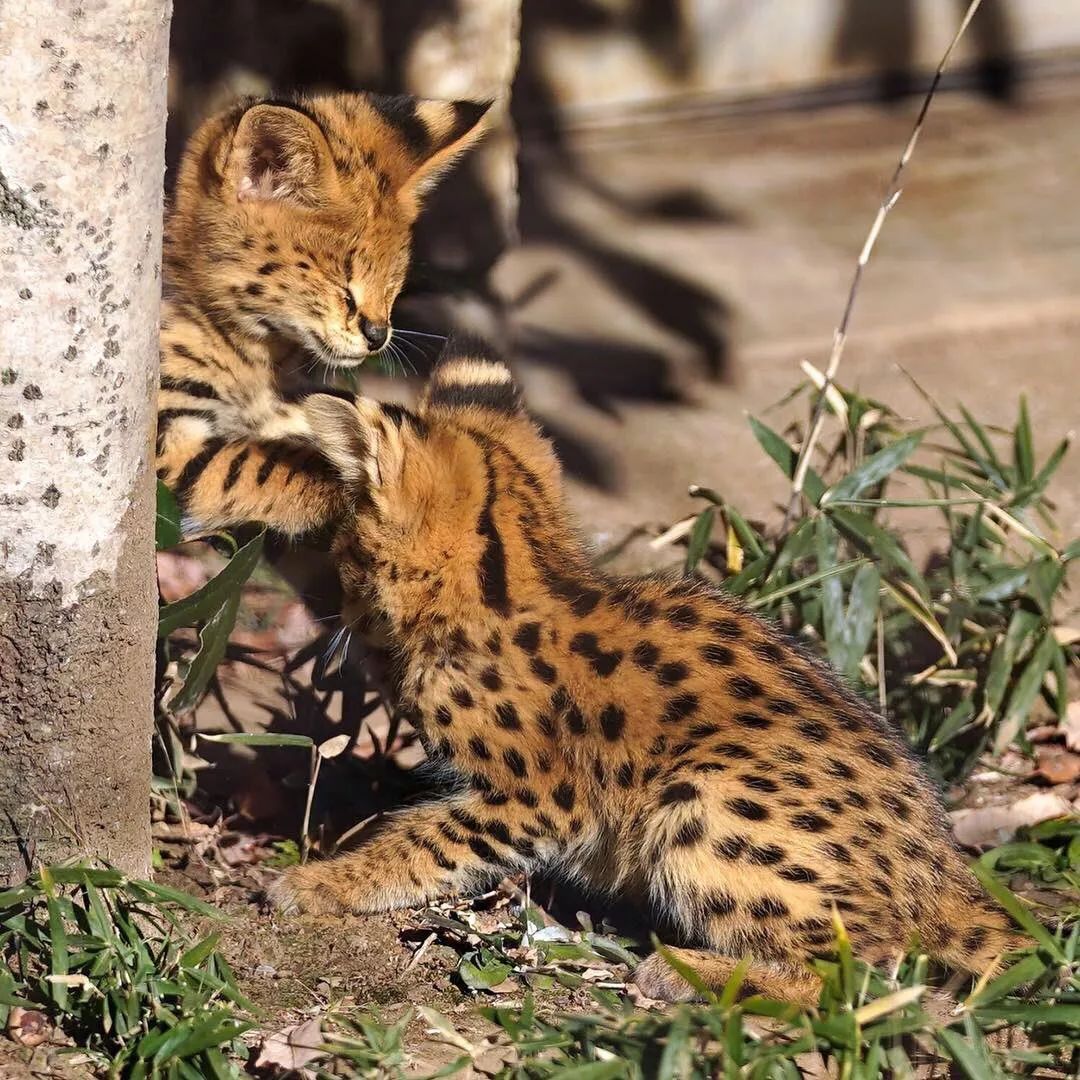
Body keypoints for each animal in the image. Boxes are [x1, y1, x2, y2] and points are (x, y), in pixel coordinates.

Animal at [265, 343, 1023, 1002]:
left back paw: (689, 971)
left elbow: (425, 841)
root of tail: (949, 879)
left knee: (863, 969)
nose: (336, 611)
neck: (517, 572)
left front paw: (320, 882)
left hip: (710, 804)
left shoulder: (540, 796)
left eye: (343, 553)